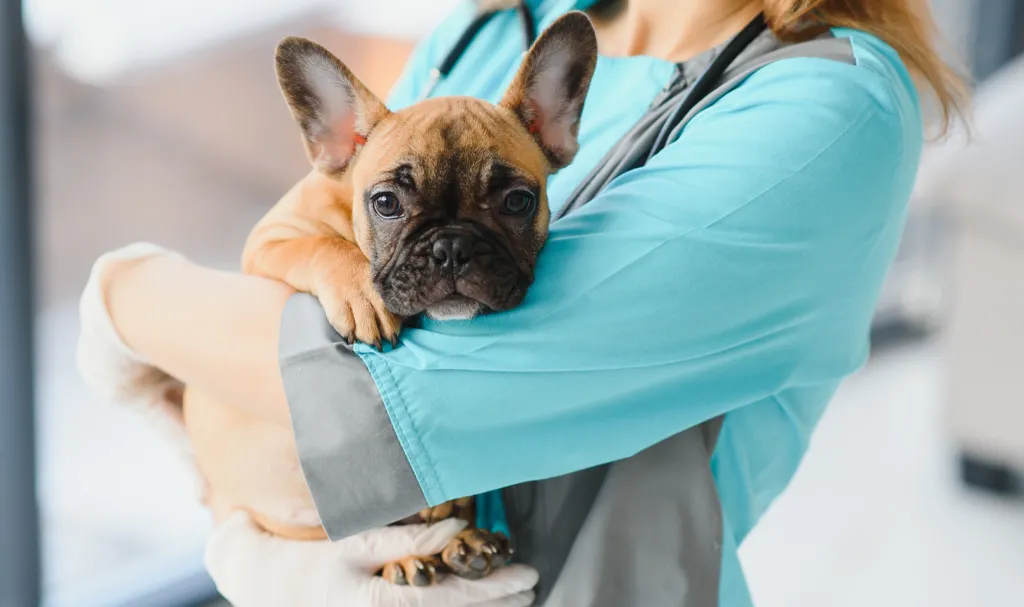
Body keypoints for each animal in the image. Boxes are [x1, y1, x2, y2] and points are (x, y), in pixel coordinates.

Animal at [181, 10, 598, 585]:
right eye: (385, 203)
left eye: (518, 201)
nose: (452, 246)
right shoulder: (270, 240)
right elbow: (322, 245)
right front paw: (362, 294)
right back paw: (407, 555)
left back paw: (464, 541)